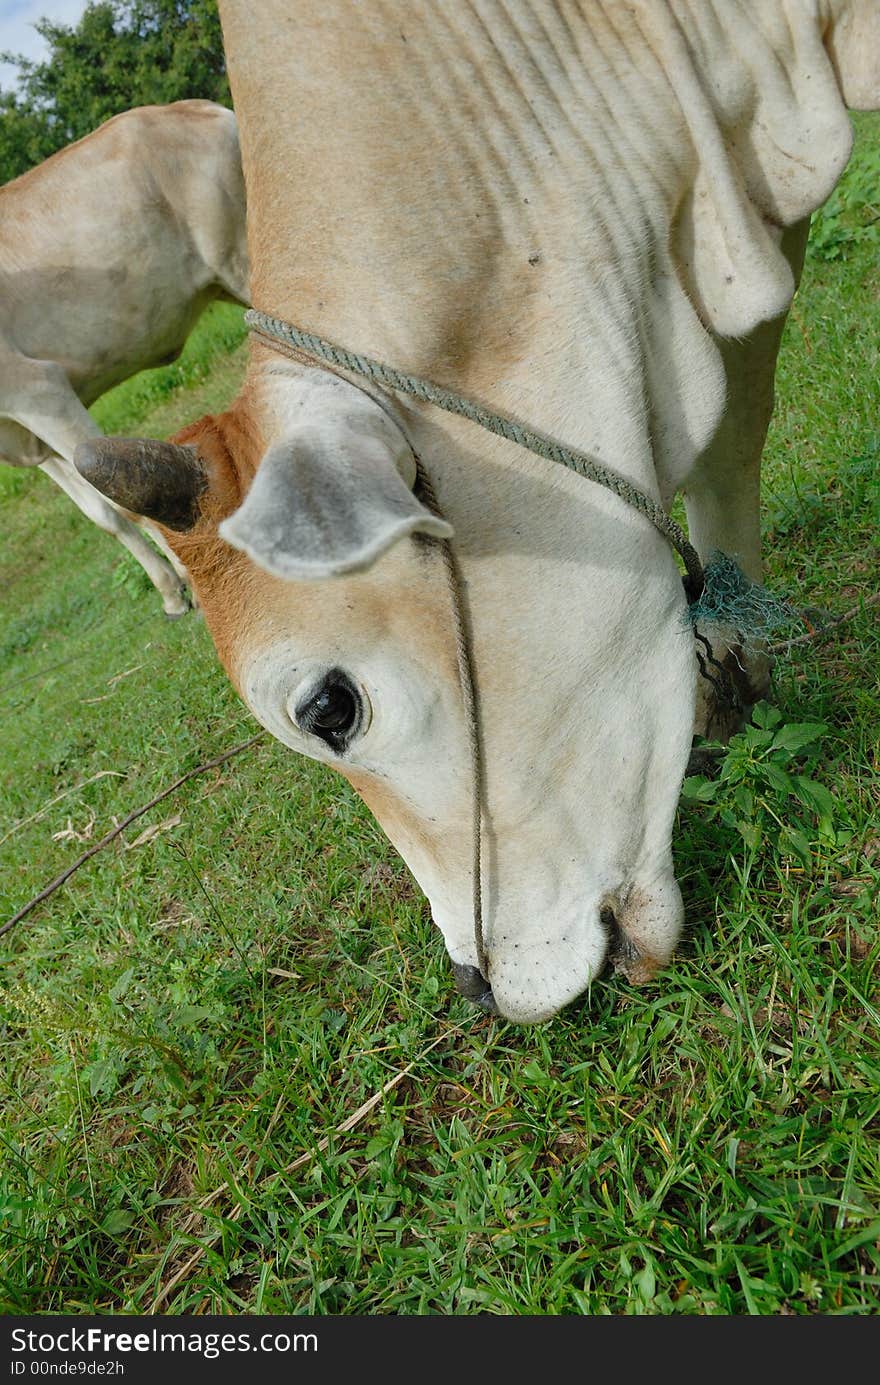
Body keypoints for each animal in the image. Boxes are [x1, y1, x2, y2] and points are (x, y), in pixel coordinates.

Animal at [1, 97, 249, 617]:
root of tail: (190, 107)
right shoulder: (19, 435)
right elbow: (100, 512)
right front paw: (171, 590)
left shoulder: (39, 390)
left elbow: (121, 500)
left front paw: (188, 585)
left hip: (241, 255)